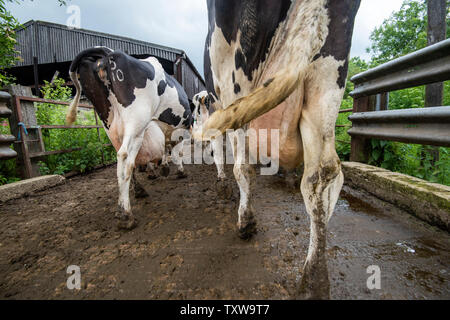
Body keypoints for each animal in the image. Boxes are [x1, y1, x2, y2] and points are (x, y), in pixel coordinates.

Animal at [67, 46, 193, 229]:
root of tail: (107, 53)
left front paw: (162, 168)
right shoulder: (181, 130)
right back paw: (125, 214)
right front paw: (179, 171)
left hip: (112, 126)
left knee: (124, 161)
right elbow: (177, 152)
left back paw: (138, 191)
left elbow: (164, 149)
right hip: (136, 121)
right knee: (124, 157)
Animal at [194, 1, 362, 298]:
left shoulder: (217, 106)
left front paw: (222, 185)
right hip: (327, 79)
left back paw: (245, 221)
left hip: (237, 78)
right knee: (322, 174)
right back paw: (314, 280)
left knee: (244, 167)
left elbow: (220, 151)